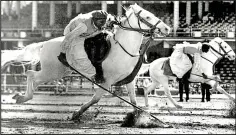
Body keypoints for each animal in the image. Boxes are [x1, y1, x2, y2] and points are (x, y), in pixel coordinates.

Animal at [7, 3, 170, 120]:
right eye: (147, 17)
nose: (167, 28)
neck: (122, 49)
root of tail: (45, 43)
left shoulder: (129, 81)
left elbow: (134, 102)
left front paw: (140, 119)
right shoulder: (106, 81)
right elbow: (95, 99)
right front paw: (76, 114)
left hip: (56, 72)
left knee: (33, 78)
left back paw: (21, 97)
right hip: (51, 72)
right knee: (30, 74)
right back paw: (23, 97)